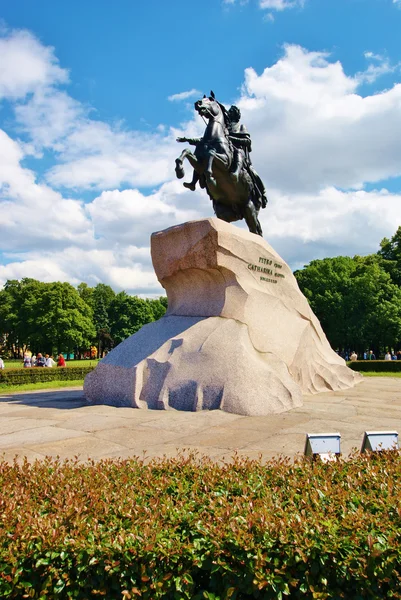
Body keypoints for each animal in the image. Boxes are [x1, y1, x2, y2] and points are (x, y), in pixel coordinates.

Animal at [174, 94, 262, 237]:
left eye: (210, 99)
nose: (197, 103)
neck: (212, 137)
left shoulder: (225, 162)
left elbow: (211, 154)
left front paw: (211, 177)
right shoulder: (198, 163)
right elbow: (186, 151)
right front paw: (179, 170)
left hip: (249, 209)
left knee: (255, 231)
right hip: (223, 212)